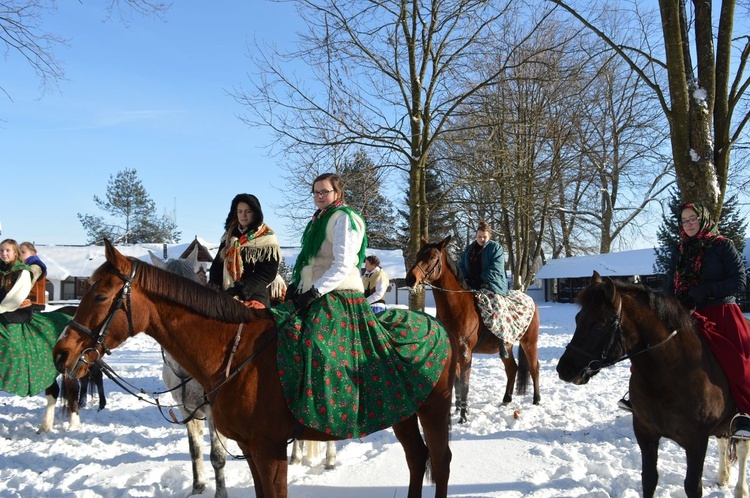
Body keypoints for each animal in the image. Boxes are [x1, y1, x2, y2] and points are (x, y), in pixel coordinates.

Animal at [51, 239, 458, 496]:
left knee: (440, 460)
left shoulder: (269, 449)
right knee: (416, 458)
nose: (61, 353)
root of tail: (436, 325)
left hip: (434, 411)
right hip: (403, 412)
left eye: (101, 295)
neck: (235, 354)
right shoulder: (248, 448)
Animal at [406, 235, 540, 422]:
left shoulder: (465, 353)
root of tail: (530, 300)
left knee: (535, 368)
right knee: (512, 368)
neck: (456, 307)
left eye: (432, 257)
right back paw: (506, 399)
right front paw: (456, 409)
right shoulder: (454, 351)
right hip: (507, 347)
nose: (410, 279)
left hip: (529, 343)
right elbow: (455, 382)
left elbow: (464, 384)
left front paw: (463, 415)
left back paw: (536, 400)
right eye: (418, 254)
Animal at [560, 272, 750, 498]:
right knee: (723, 439)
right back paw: (723, 476)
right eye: (578, 319)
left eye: (600, 324)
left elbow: (692, 486)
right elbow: (649, 479)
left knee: (743, 448)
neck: (668, 375)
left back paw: (740, 489)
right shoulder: (645, 432)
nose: (564, 369)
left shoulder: (697, 441)